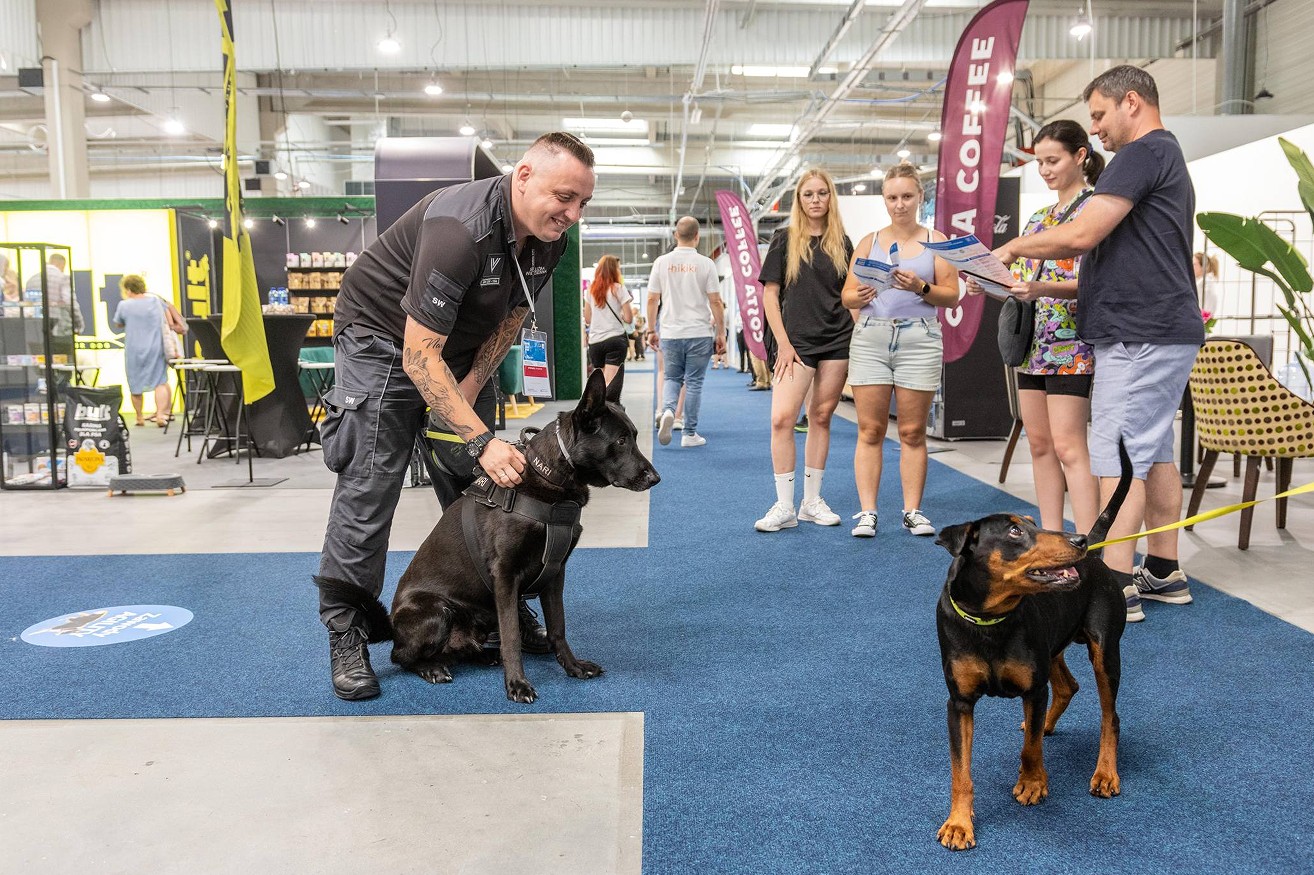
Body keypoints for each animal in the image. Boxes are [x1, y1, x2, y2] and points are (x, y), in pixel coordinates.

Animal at [930, 438, 1135, 846]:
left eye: (1035, 525)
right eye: (1014, 532)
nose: (1078, 540)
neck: (990, 620)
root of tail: (1097, 554)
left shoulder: (1033, 689)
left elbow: (1031, 750)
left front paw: (1032, 783)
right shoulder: (959, 702)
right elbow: (961, 770)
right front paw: (959, 823)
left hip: (1105, 651)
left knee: (1110, 716)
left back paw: (1105, 773)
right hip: (1053, 648)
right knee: (1068, 687)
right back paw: (1045, 724)